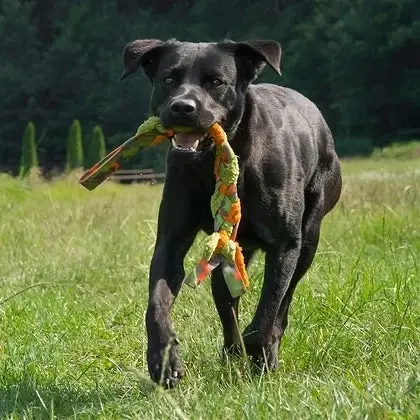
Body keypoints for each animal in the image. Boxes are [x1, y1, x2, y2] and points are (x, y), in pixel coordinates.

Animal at [120, 38, 342, 388]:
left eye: (217, 82)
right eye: (168, 79)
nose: (182, 107)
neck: (218, 161)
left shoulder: (285, 245)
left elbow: (269, 309)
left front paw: (262, 355)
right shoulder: (171, 242)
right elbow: (157, 303)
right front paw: (163, 360)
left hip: (309, 239)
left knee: (285, 301)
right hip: (226, 253)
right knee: (228, 308)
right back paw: (231, 352)